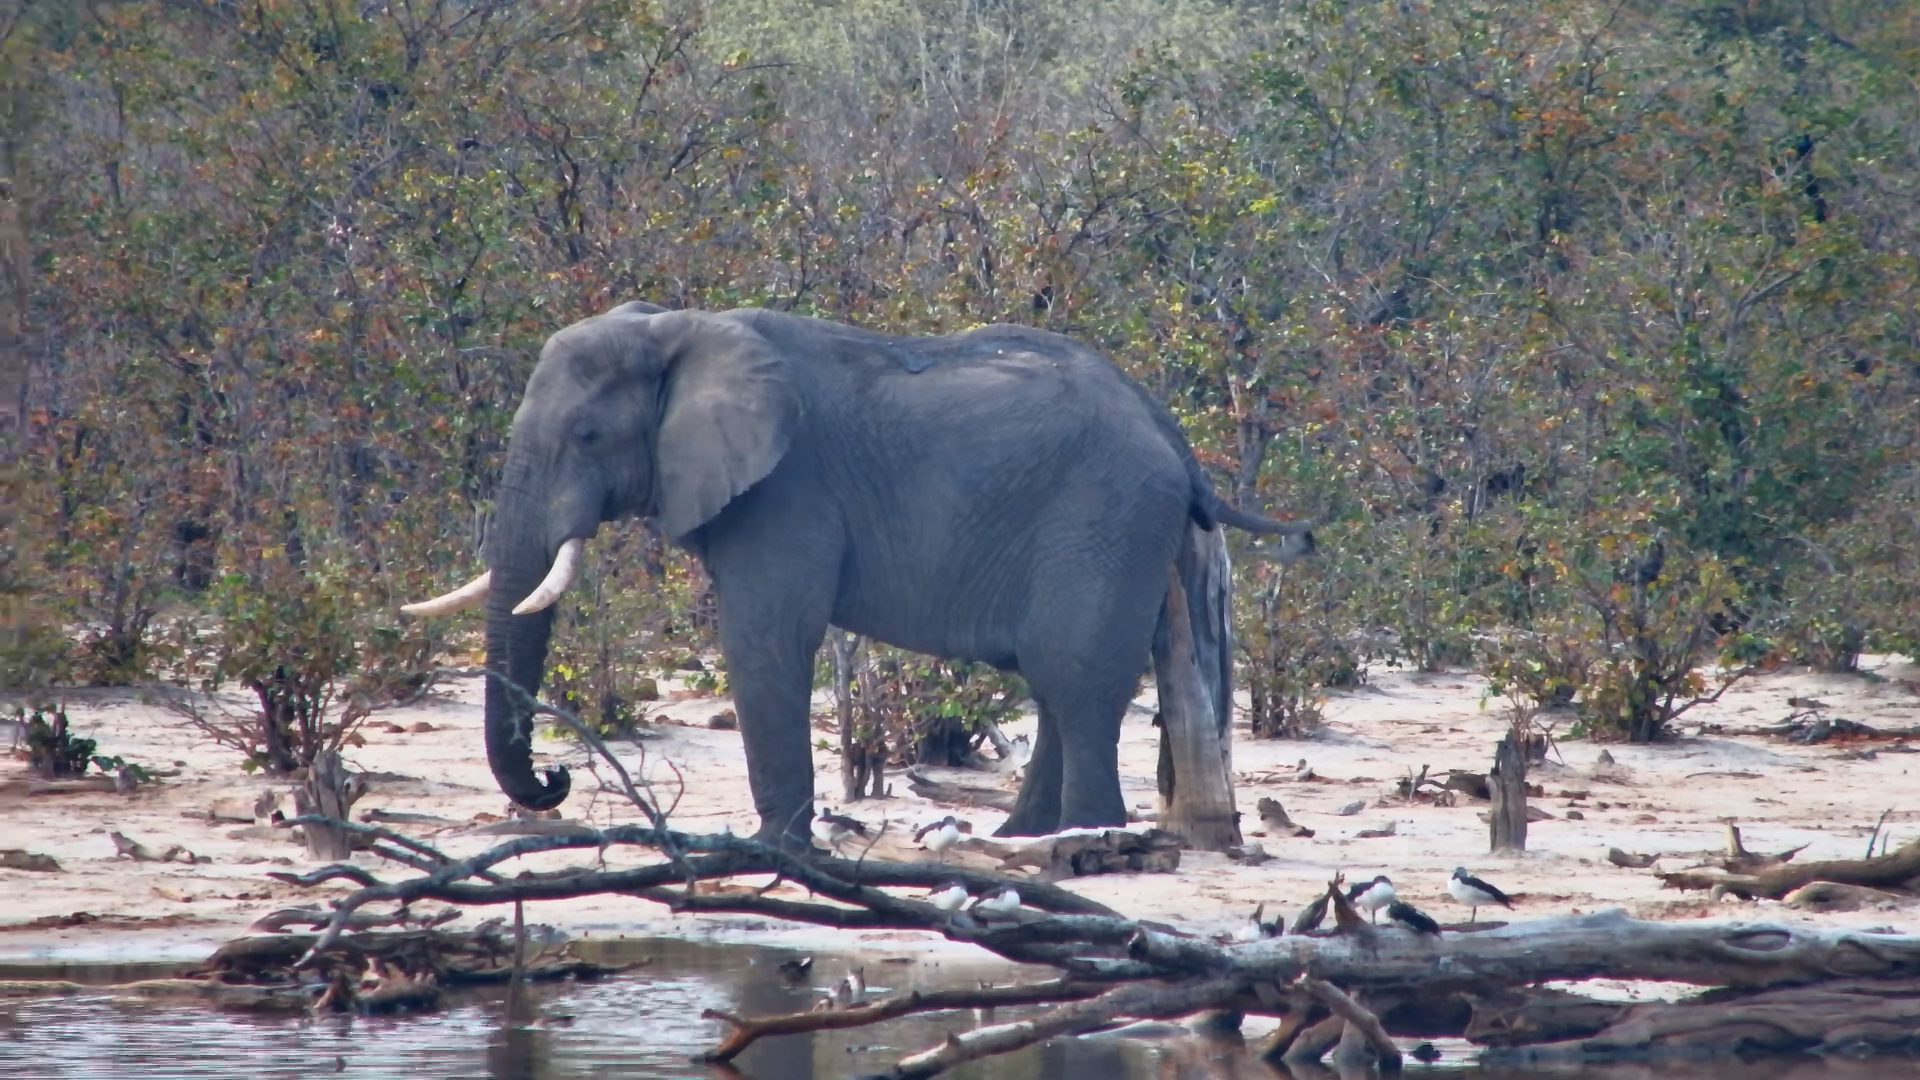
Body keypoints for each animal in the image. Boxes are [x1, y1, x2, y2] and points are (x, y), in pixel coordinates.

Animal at [402, 301, 1314, 849]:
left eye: (587, 436)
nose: (553, 779)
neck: (678, 328)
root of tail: (1176, 441)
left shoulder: (785, 491)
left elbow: (766, 638)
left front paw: (773, 852)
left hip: (1107, 520)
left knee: (1077, 678)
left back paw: (1083, 841)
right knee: (1057, 682)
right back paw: (1019, 840)